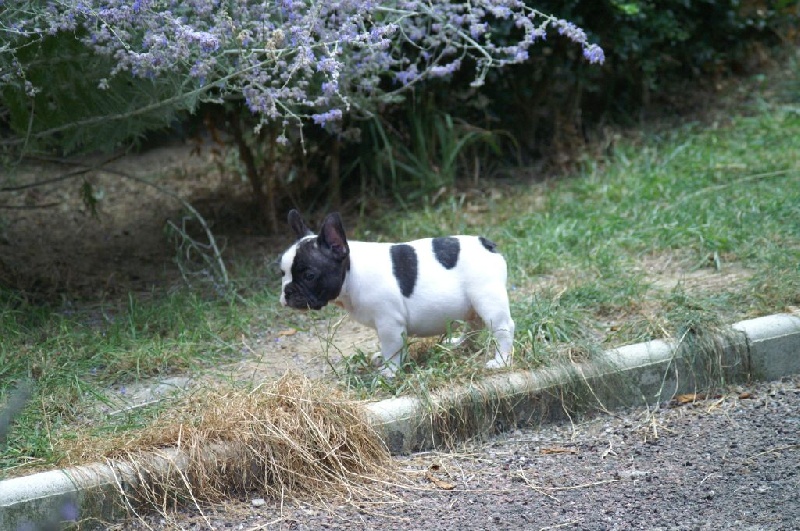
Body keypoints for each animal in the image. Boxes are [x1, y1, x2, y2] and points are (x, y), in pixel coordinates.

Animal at [278, 210, 516, 376]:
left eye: (309, 275)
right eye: (282, 273)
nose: (287, 291)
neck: (352, 273)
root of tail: (485, 243)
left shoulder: (389, 324)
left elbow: (392, 349)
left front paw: (390, 371)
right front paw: (382, 359)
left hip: (487, 299)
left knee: (502, 327)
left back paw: (501, 361)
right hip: (472, 304)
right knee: (474, 325)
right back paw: (459, 344)